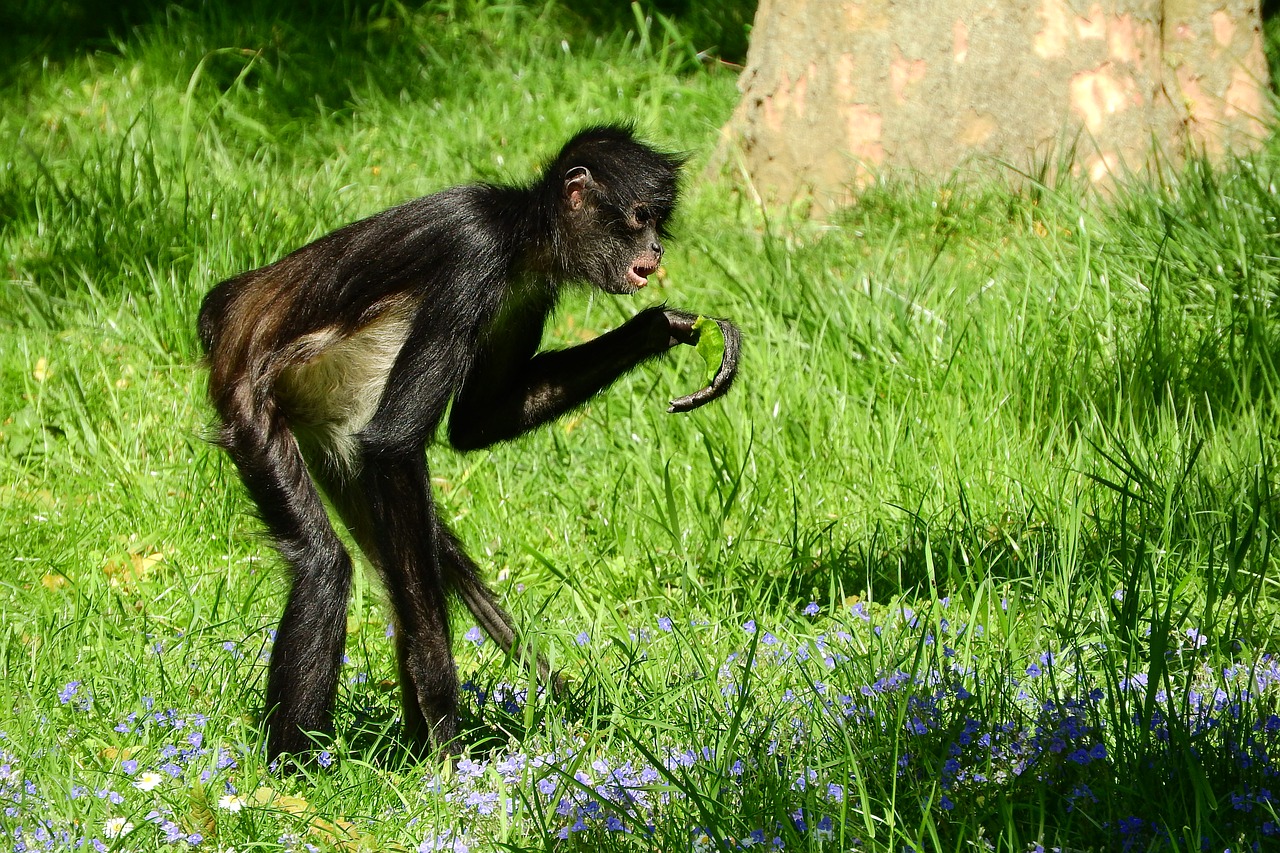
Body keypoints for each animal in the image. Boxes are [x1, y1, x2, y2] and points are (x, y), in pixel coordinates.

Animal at [197, 121, 742, 758]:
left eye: (660, 222)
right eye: (640, 218)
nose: (655, 251)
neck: (521, 233)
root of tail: (230, 309)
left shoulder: (528, 288)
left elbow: (476, 423)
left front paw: (660, 327)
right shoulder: (475, 252)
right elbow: (394, 444)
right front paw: (439, 701)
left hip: (333, 439)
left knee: (410, 567)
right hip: (248, 404)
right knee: (324, 565)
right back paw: (298, 773)